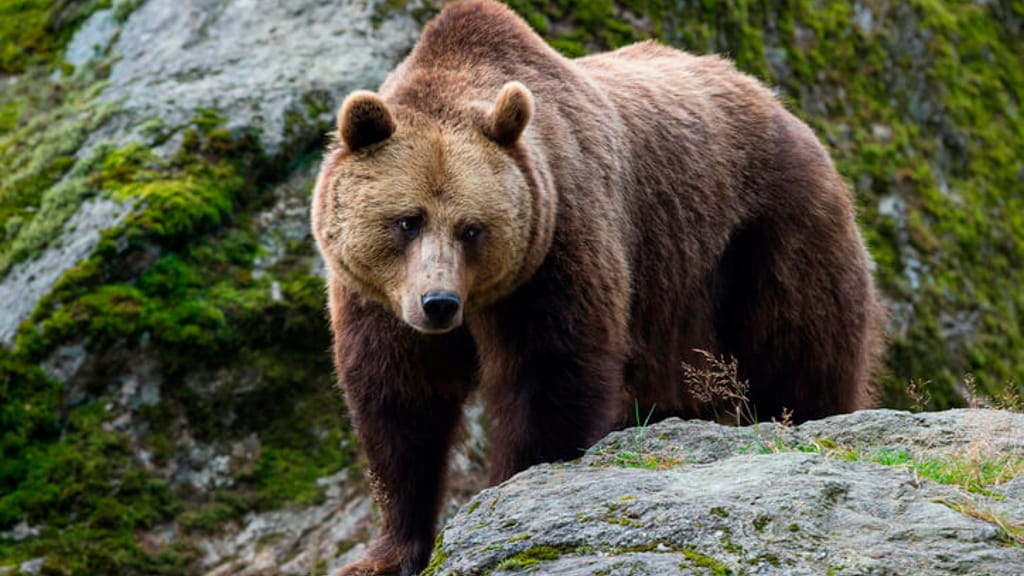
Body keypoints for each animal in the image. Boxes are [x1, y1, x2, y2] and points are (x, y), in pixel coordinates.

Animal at [311, 1, 885, 574]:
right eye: (407, 220)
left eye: (472, 228)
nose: (439, 304)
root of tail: (776, 101)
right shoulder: (378, 298)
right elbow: (401, 403)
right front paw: (387, 551)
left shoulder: (559, 238)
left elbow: (551, 371)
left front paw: (513, 488)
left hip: (764, 236)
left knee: (801, 352)